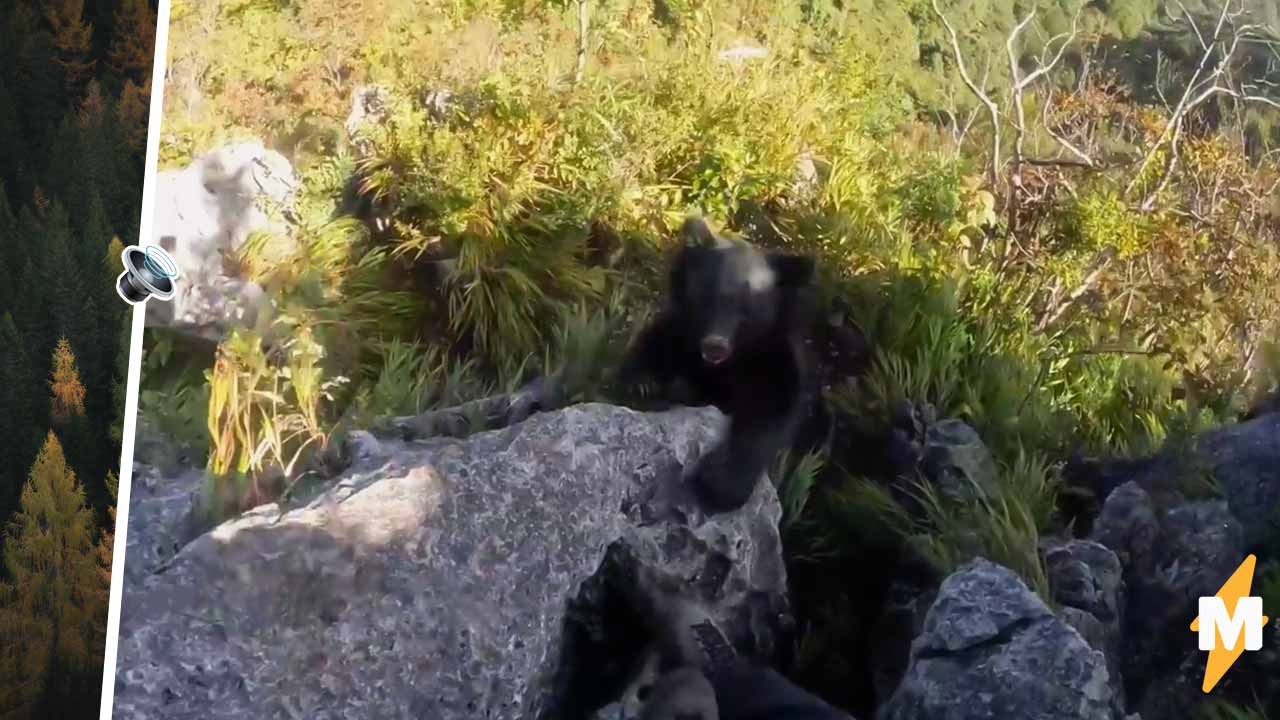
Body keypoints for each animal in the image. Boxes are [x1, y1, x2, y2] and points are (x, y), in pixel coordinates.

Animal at [619, 217, 819, 509]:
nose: (715, 345)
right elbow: (648, 355)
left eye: (747, 306)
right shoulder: (679, 334)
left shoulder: (773, 358)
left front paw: (719, 484)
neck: (728, 364)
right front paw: (645, 386)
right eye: (707, 295)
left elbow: (771, 410)